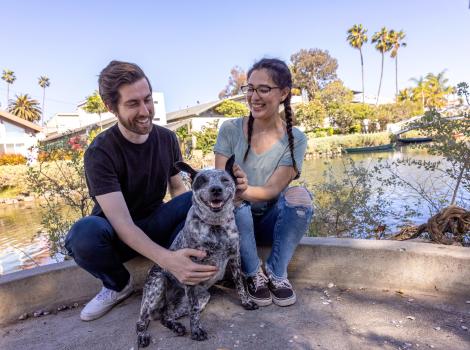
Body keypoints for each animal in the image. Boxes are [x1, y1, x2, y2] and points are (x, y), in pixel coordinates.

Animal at [136, 156, 258, 348]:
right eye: (202, 180)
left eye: (225, 180)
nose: (216, 189)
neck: (215, 226)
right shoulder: (191, 269)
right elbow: (194, 313)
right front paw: (197, 331)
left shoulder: (235, 258)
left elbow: (240, 284)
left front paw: (246, 302)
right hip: (156, 288)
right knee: (142, 320)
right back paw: (143, 335)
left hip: (201, 298)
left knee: (165, 316)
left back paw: (177, 326)